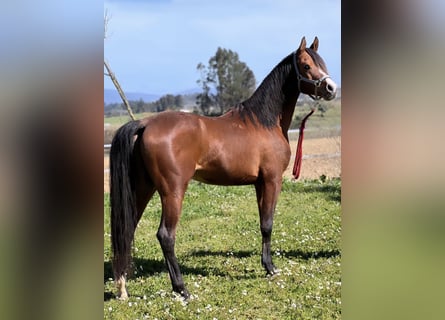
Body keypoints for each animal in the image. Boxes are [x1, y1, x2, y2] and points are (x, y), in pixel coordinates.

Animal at [110, 37, 336, 300]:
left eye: (321, 62)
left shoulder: (259, 183)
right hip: (172, 191)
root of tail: (145, 124)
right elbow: (268, 224)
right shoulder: (272, 180)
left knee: (127, 230)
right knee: (165, 235)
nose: (331, 88)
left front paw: (266, 265)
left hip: (143, 188)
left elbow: (262, 224)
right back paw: (181, 288)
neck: (264, 122)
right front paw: (270, 268)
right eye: (306, 65)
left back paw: (122, 288)